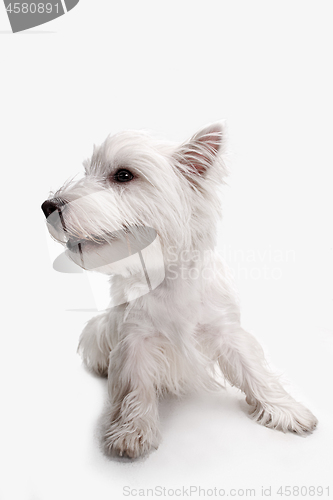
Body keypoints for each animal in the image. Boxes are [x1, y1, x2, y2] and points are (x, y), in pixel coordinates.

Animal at [41, 121, 316, 458]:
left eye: (123, 175)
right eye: (87, 172)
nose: (47, 206)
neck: (168, 278)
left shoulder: (225, 330)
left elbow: (252, 369)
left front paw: (287, 409)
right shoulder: (135, 339)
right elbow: (135, 386)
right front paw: (132, 431)